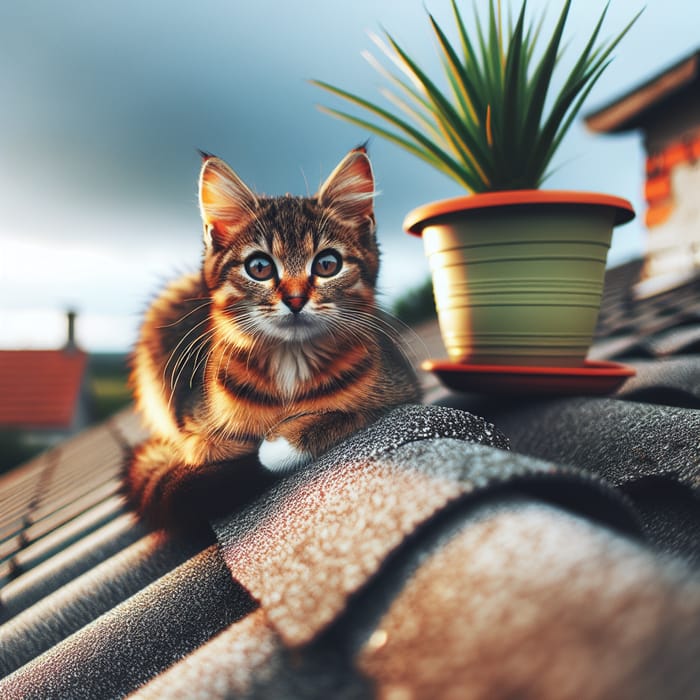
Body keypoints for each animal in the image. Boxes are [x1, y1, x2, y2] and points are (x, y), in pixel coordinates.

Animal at [125, 149, 422, 532]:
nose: (295, 299)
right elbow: (205, 447)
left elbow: (351, 411)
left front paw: (280, 443)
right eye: (259, 267)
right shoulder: (192, 421)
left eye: (327, 263)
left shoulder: (400, 387)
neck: (290, 359)